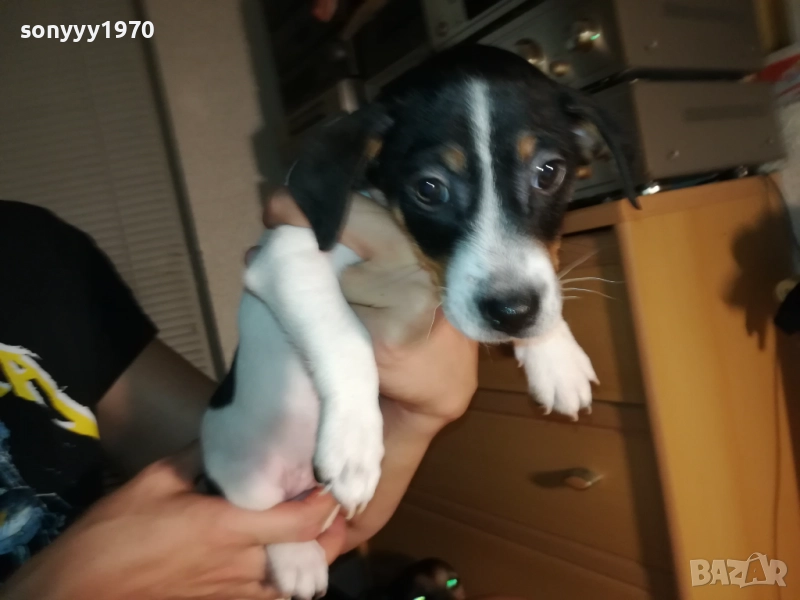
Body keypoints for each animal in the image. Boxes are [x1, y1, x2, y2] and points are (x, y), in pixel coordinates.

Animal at [200, 44, 636, 600]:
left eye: (548, 172)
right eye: (429, 188)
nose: (512, 314)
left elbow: (547, 282)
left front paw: (555, 355)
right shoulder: (288, 258)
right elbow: (347, 339)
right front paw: (354, 442)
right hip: (240, 475)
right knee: (268, 523)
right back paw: (299, 560)